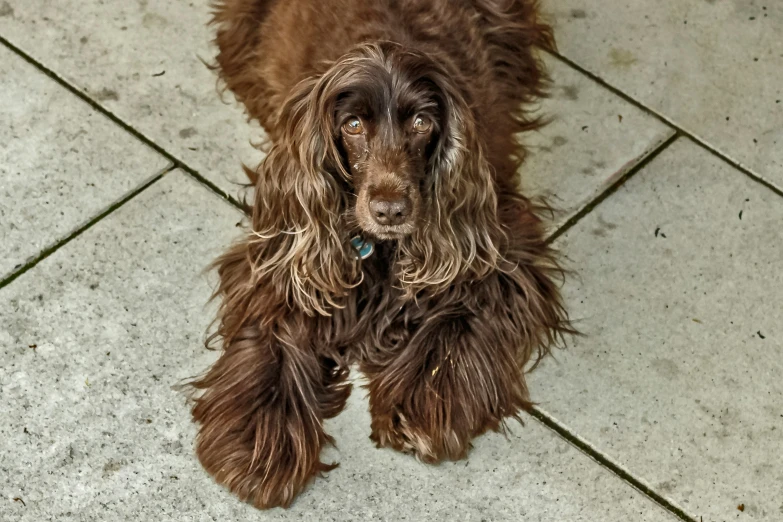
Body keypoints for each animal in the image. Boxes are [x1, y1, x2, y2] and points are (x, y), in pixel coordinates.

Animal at [188, 0, 568, 506]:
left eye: (422, 123)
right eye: (352, 125)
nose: (390, 209)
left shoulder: (500, 245)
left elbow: (458, 317)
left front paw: (421, 401)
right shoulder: (285, 253)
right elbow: (275, 332)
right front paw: (259, 440)